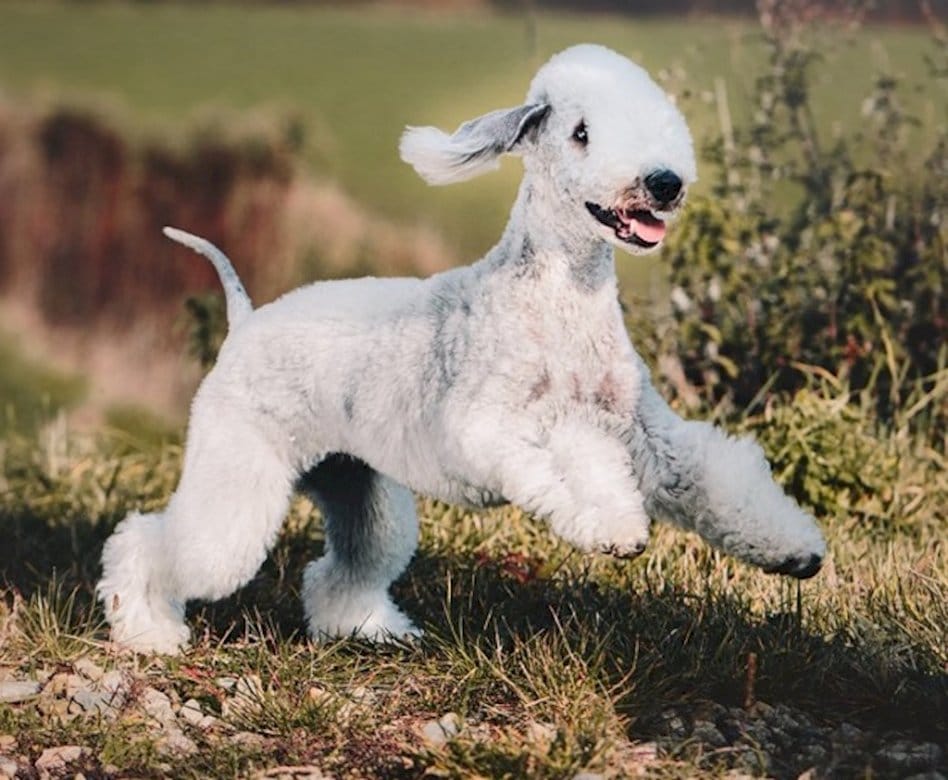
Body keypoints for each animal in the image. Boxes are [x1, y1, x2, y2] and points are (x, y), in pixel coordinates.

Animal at [96, 44, 824, 652]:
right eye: (581, 133)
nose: (665, 182)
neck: (562, 300)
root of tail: (244, 322)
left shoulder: (649, 434)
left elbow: (711, 477)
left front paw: (796, 552)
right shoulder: (492, 430)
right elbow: (572, 466)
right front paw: (615, 526)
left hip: (358, 486)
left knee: (342, 567)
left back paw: (369, 630)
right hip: (237, 474)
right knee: (151, 542)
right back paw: (149, 633)